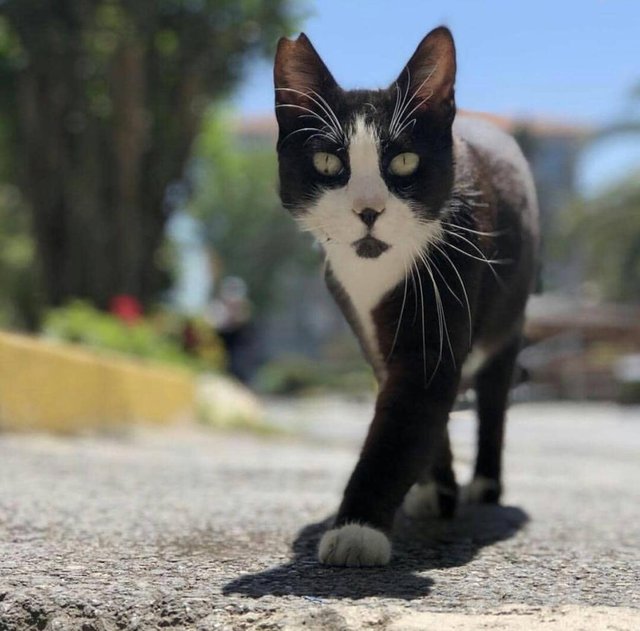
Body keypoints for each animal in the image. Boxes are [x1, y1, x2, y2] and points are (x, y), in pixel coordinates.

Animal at [272, 25, 536, 568]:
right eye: (328, 161)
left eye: (405, 160)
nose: (368, 209)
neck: (376, 269)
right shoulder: (362, 322)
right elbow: (417, 412)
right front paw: (434, 489)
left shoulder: (446, 287)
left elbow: (404, 420)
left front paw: (357, 531)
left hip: (510, 314)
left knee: (494, 395)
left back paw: (485, 485)